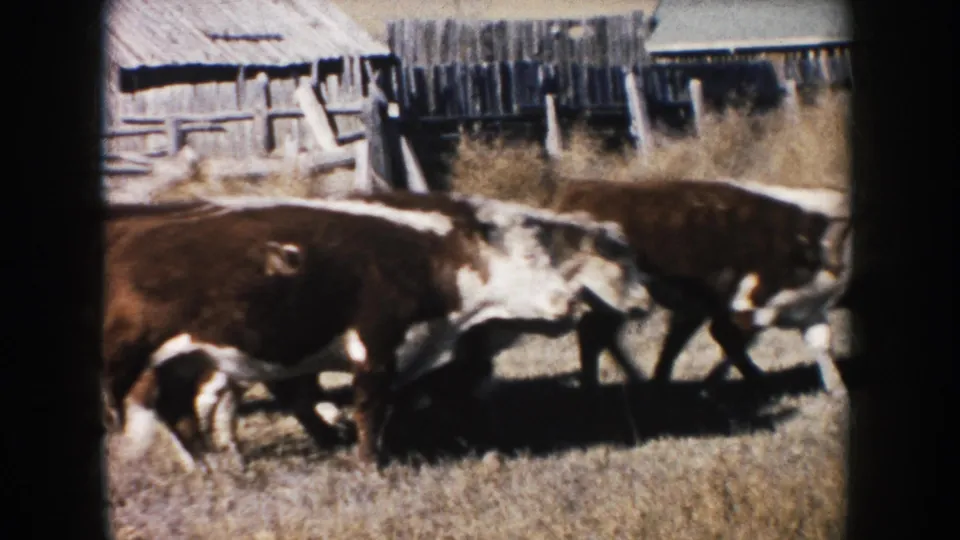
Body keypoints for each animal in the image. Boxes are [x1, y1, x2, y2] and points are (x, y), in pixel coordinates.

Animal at [105, 191, 652, 471]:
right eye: (532, 257)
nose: (568, 303)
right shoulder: (376, 346)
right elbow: (372, 407)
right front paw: (370, 464)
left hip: (194, 360)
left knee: (191, 411)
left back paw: (221, 468)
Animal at [541, 177, 854, 399]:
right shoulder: (723, 308)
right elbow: (725, 340)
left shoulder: (806, 311)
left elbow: (820, 343)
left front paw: (837, 388)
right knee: (592, 334)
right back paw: (596, 387)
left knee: (600, 335)